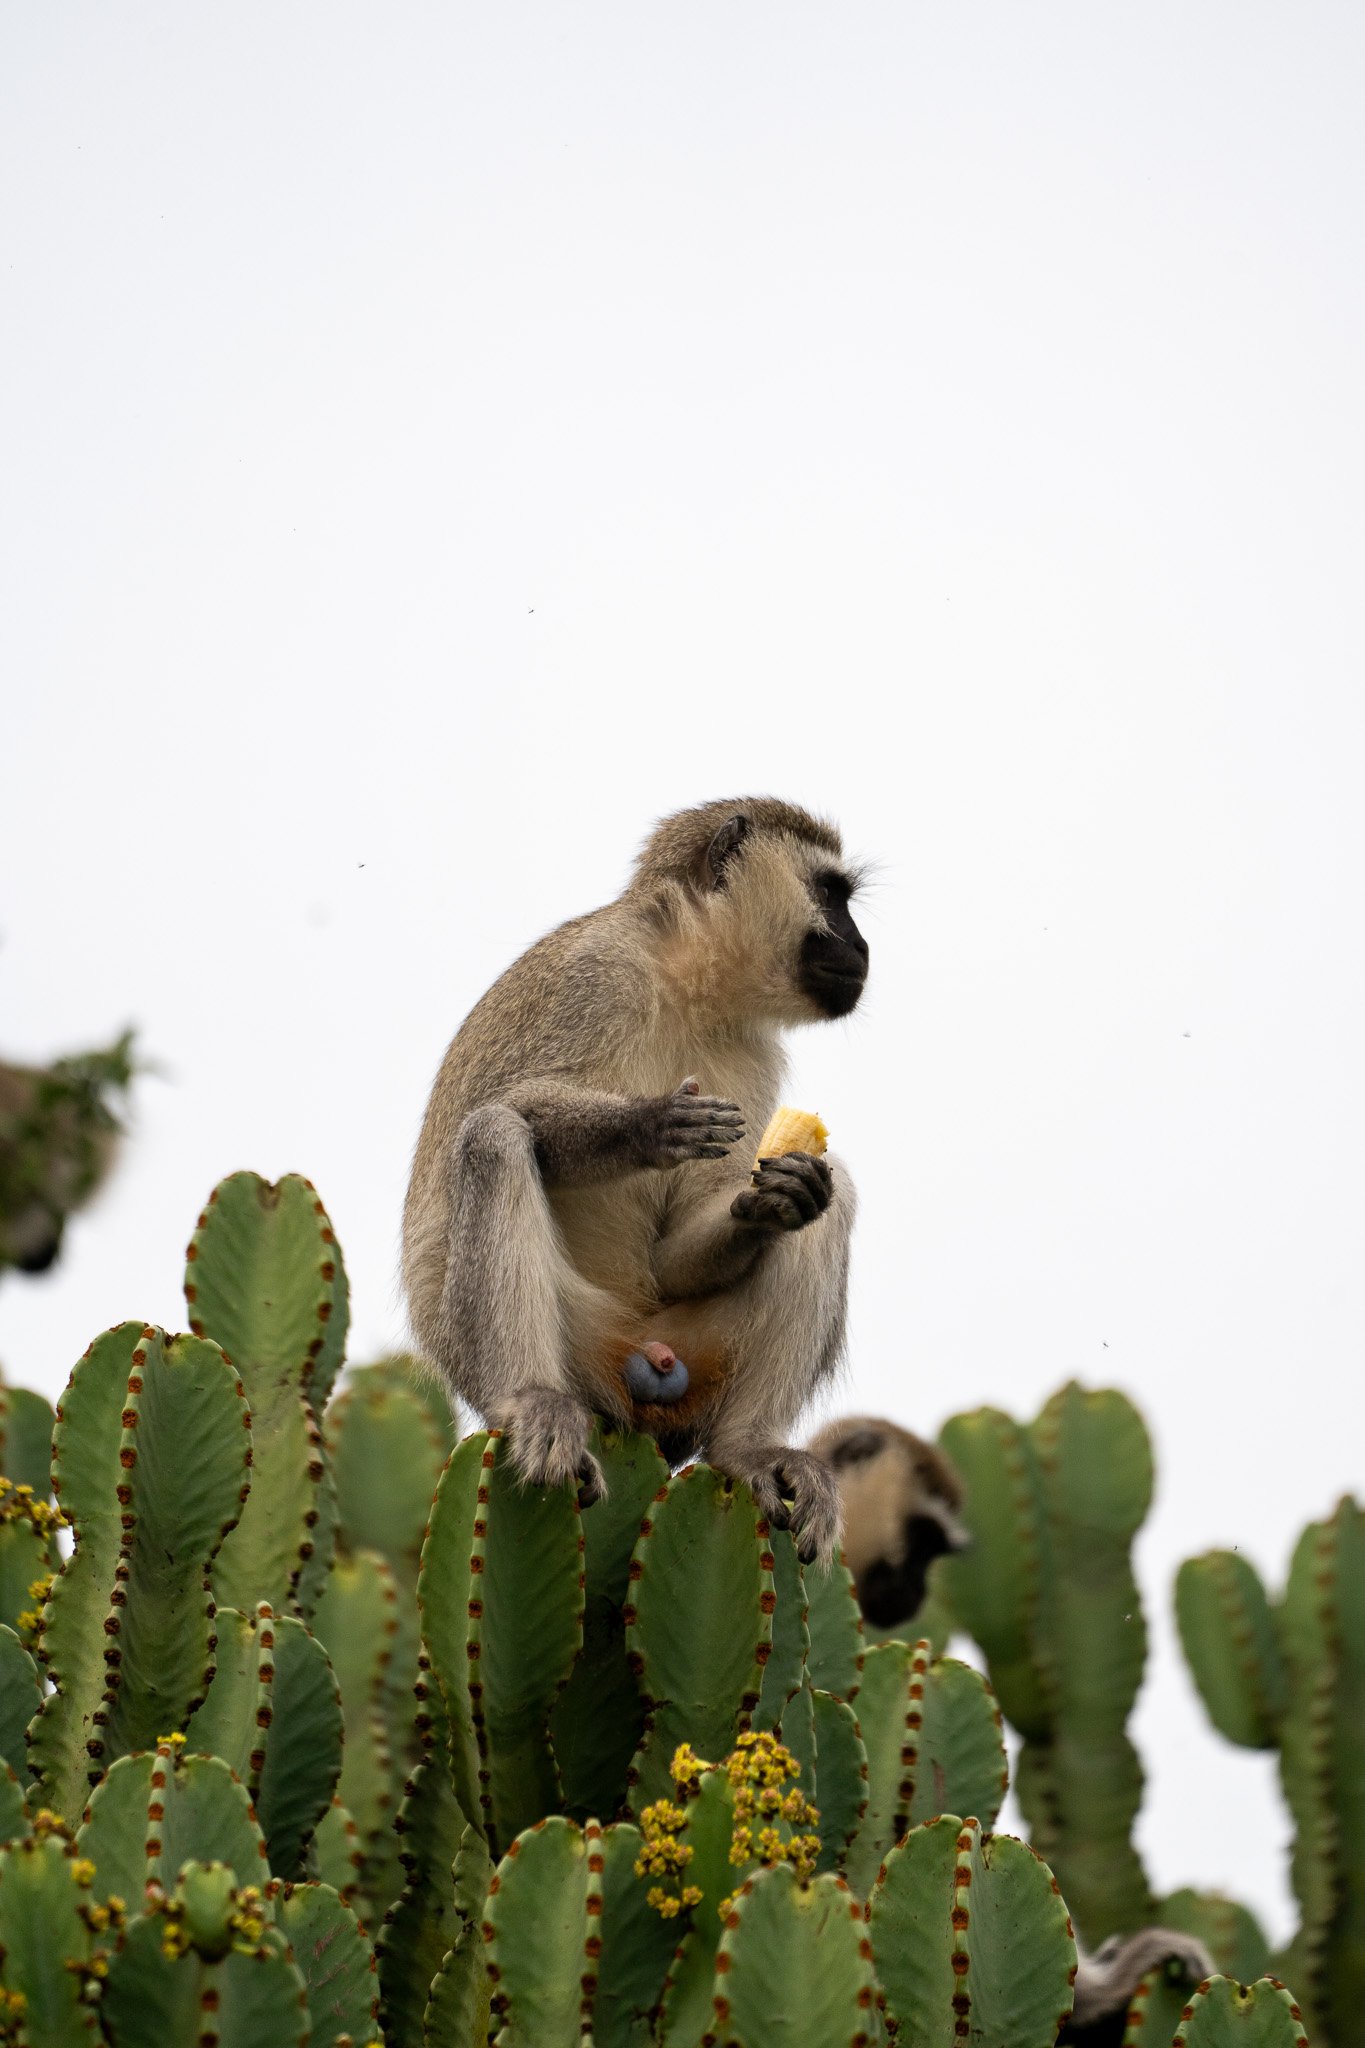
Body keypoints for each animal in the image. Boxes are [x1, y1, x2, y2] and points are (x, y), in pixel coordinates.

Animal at [402, 797, 869, 1560]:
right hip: (568, 1342)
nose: (861, 948)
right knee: (493, 1138)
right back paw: (530, 1401)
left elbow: (679, 1254)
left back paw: (749, 1447)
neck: (688, 982)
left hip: (695, 1348)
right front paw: (648, 1126)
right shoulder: (593, 975)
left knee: (839, 1196)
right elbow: (499, 1105)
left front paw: (777, 1201)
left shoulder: (755, 1054)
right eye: (831, 894)